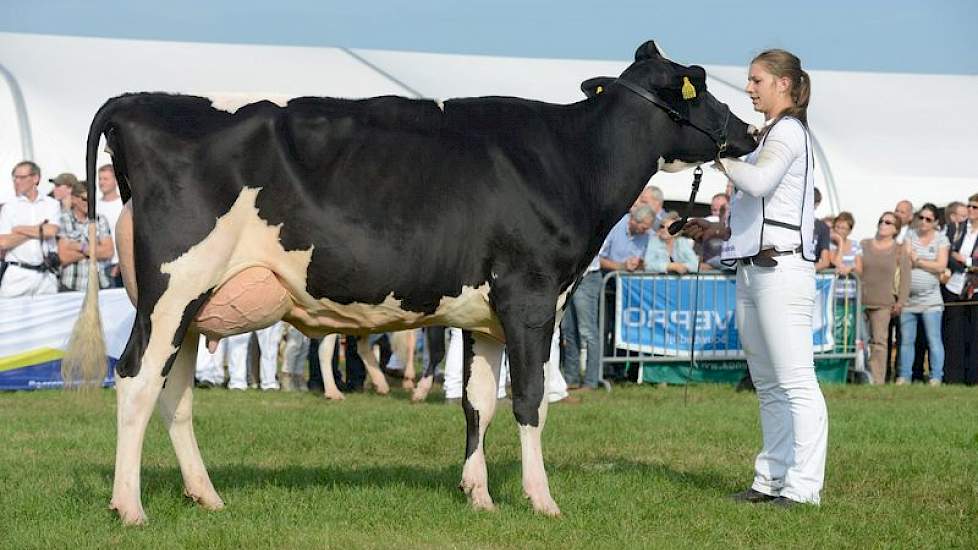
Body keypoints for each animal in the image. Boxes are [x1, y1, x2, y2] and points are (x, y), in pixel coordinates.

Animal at [68, 42, 756, 528]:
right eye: (700, 84)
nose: (749, 132)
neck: (570, 159)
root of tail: (137, 101)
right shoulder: (532, 297)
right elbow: (529, 400)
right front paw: (541, 500)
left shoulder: (487, 316)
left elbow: (478, 402)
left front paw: (478, 496)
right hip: (174, 288)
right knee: (136, 380)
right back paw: (130, 507)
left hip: (194, 305)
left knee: (174, 394)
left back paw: (205, 496)